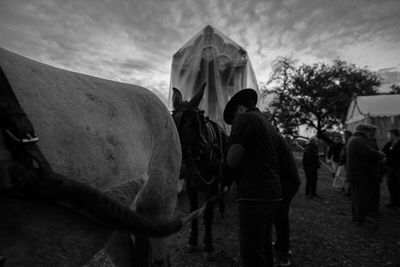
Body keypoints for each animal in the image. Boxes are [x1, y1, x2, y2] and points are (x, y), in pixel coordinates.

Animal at [173, 85, 228, 258]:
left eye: (191, 124)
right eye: (172, 121)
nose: (179, 163)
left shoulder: (213, 183)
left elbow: (208, 212)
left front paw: (208, 246)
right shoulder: (191, 185)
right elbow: (194, 212)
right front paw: (193, 241)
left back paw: (221, 209)